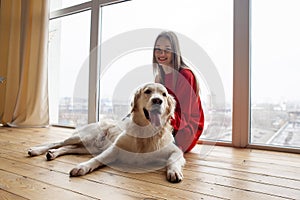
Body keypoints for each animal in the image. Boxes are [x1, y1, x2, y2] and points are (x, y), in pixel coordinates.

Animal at [28, 82, 188, 183]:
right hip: (84, 137)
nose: (157, 100)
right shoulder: (114, 149)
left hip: (87, 147)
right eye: (148, 91)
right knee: (58, 142)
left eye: (164, 94)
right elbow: (97, 160)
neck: (146, 133)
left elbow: (172, 159)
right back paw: (36, 150)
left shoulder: (176, 151)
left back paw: (52, 154)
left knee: (66, 148)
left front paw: (174, 172)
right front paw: (82, 167)